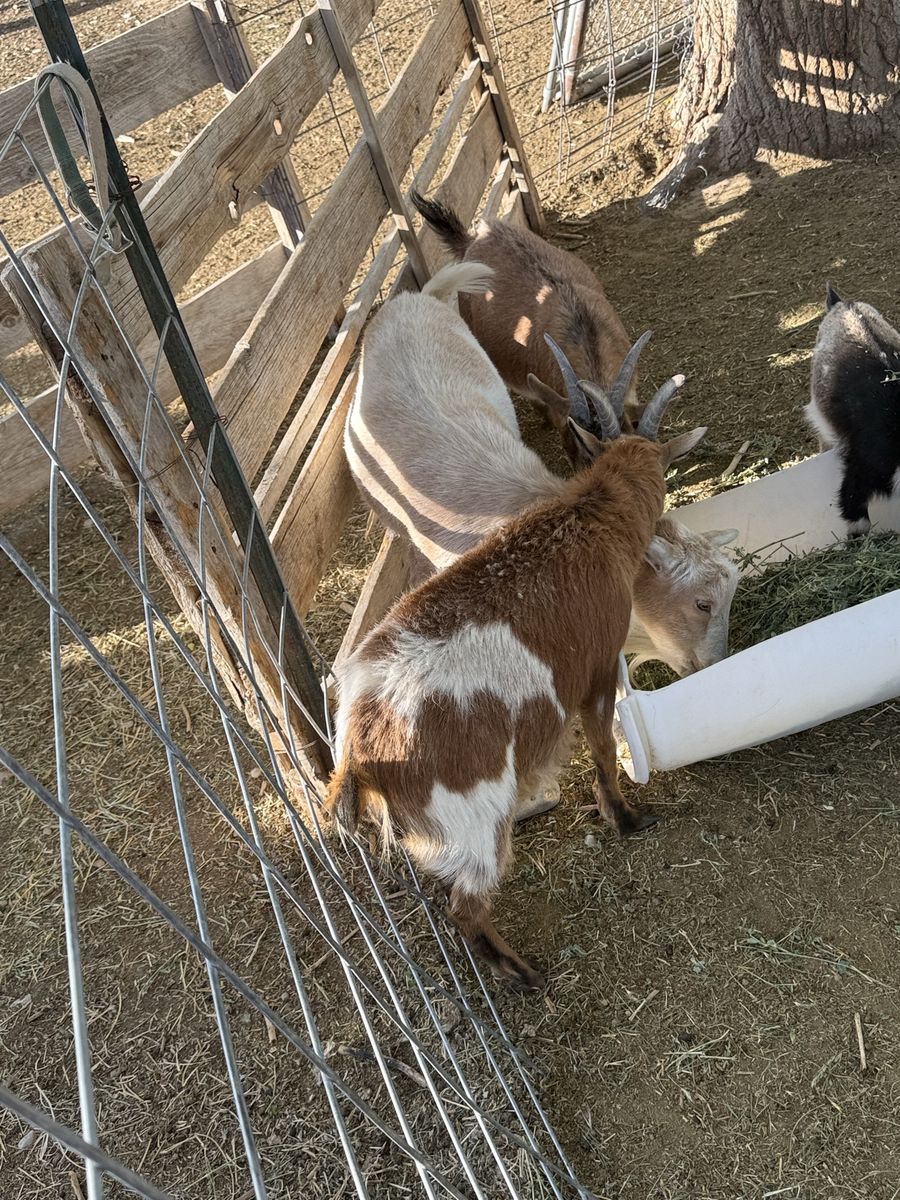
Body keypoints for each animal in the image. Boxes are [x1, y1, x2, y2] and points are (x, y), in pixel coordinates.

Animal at [329, 392, 691, 990]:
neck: (591, 520)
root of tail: (360, 747)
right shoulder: (597, 670)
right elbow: (601, 750)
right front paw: (627, 818)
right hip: (474, 817)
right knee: (465, 906)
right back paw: (523, 973)